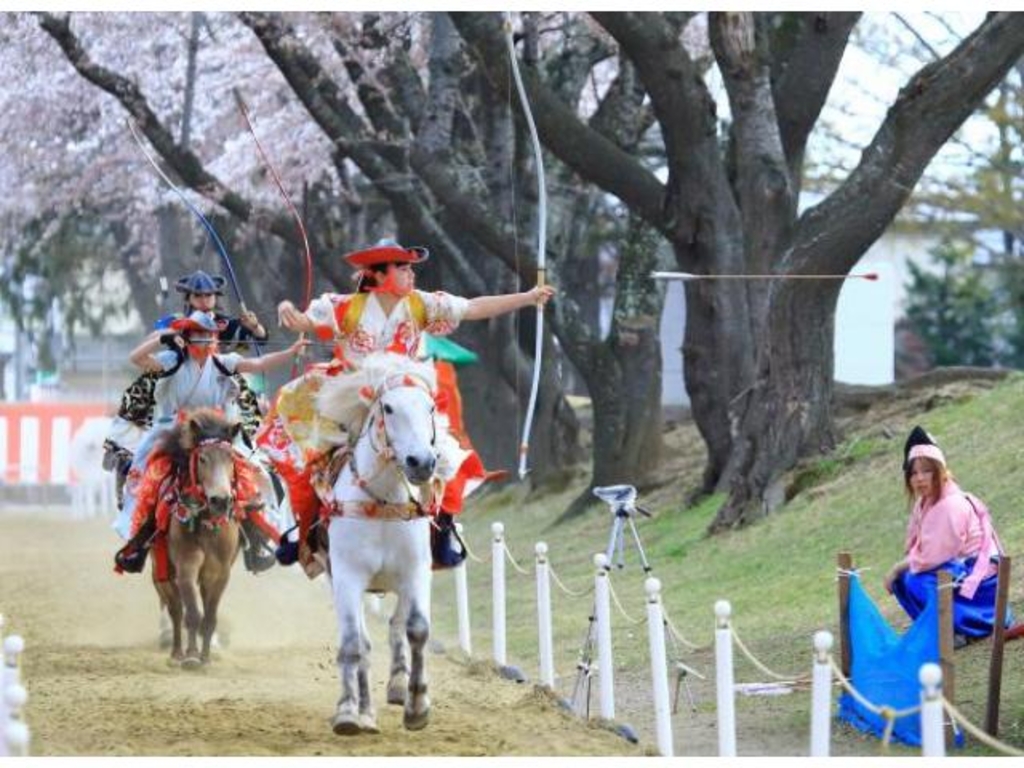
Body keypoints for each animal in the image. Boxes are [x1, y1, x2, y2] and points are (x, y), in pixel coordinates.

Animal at [149, 409, 243, 667]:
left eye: (230, 458)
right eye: (202, 458)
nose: (221, 500)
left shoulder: (220, 572)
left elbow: (209, 617)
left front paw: (206, 657)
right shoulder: (186, 564)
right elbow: (191, 613)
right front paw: (191, 656)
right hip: (161, 572)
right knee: (176, 610)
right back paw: (177, 653)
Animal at [313, 352, 438, 737]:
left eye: (430, 407)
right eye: (389, 407)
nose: (421, 462)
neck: (382, 502)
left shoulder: (416, 571)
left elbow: (417, 630)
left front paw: (417, 705)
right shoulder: (347, 576)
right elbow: (355, 644)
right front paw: (348, 712)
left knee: (397, 626)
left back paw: (397, 687)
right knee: (362, 643)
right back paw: (364, 711)